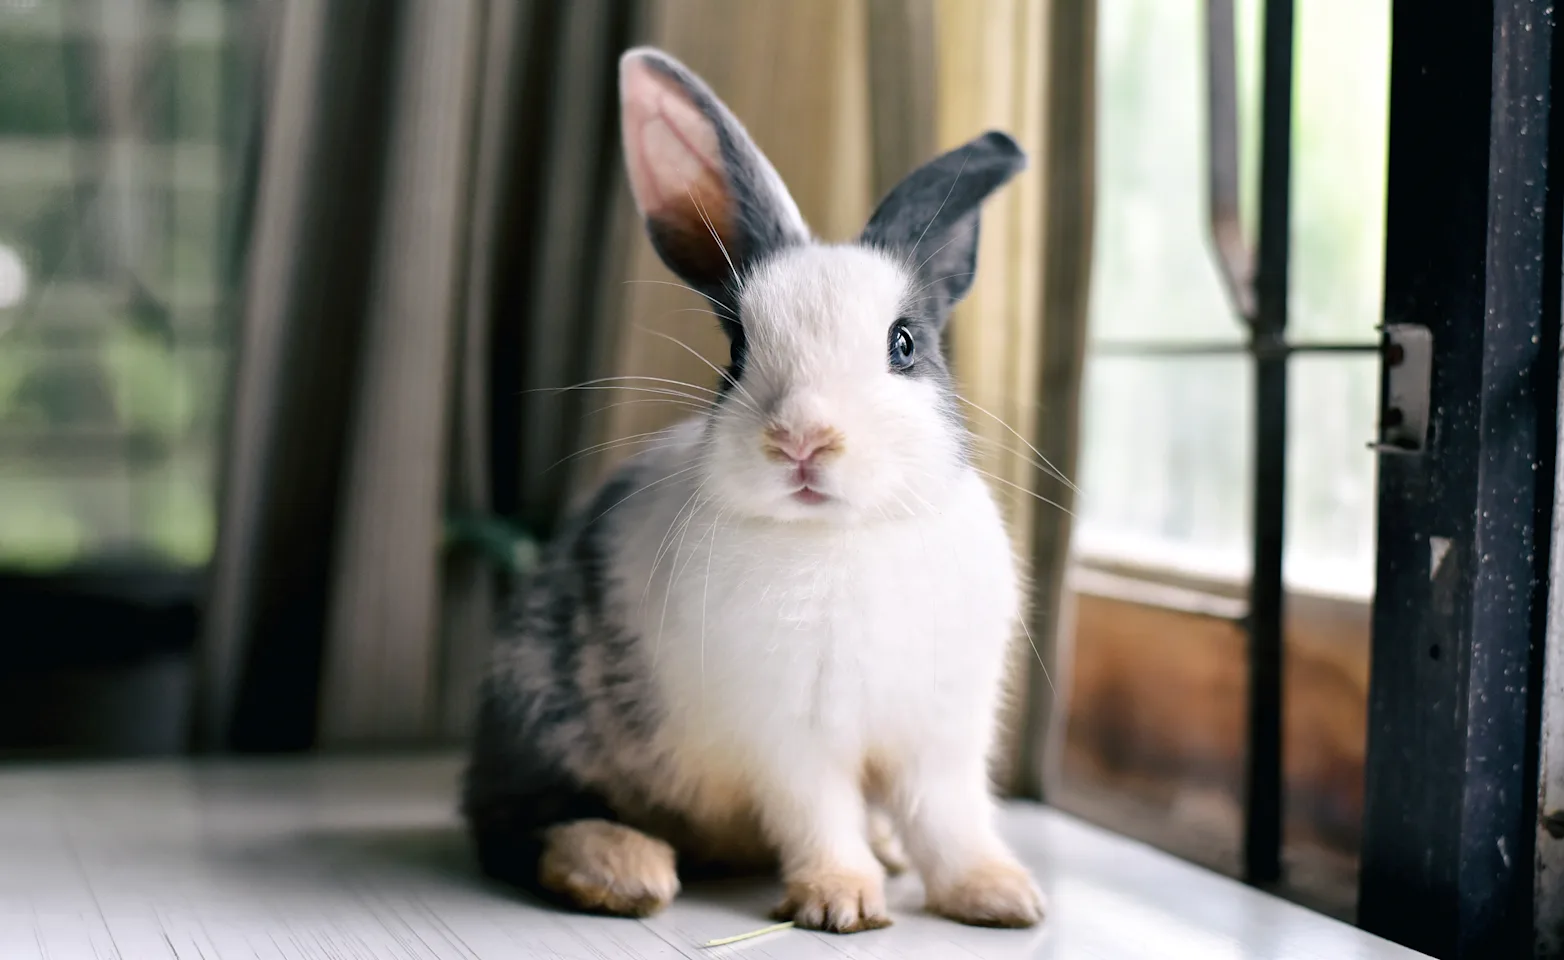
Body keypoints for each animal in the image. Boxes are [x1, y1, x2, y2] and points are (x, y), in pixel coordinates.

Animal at [466, 48, 1051, 938]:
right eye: (737, 350)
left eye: (904, 344)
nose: (802, 438)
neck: (844, 536)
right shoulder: (790, 739)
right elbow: (821, 816)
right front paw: (841, 902)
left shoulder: (940, 736)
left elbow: (950, 819)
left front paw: (1001, 898)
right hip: (542, 711)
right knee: (518, 823)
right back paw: (624, 868)